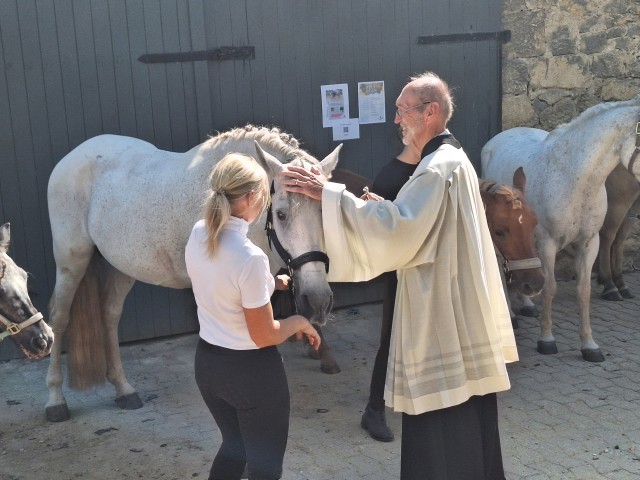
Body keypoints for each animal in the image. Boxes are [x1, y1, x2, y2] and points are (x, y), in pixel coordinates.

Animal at [46, 125, 340, 422]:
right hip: (71, 262)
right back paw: (56, 400)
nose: (318, 302)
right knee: (59, 318)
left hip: (122, 266)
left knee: (109, 316)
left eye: (325, 212)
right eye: (280, 214)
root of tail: (72, 157)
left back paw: (124, 390)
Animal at [482, 99, 640, 362]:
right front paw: (547, 340)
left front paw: (589, 345)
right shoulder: (548, 243)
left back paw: (527, 304)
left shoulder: (589, 243)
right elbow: (549, 288)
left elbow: (584, 291)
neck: (577, 180)